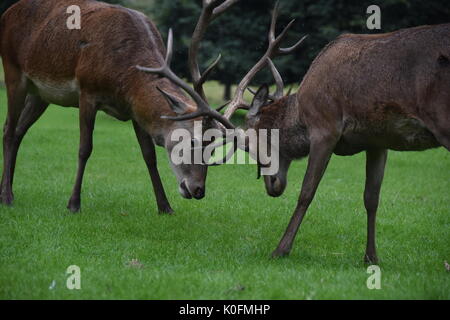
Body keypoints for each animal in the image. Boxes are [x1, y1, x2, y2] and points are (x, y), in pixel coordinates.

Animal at [0, 1, 239, 214]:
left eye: (213, 147)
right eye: (191, 141)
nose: (199, 190)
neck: (125, 77)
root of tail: (6, 13)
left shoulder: (135, 110)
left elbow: (149, 156)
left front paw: (165, 207)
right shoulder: (87, 92)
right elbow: (84, 149)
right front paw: (73, 204)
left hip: (40, 93)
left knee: (20, 130)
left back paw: (8, 187)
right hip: (13, 71)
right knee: (9, 130)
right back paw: (7, 196)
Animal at [156, 1, 448, 264]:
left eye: (249, 147)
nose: (272, 187)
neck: (302, 113)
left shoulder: (325, 127)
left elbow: (307, 191)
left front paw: (280, 249)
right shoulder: (377, 140)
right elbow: (371, 197)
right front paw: (371, 257)